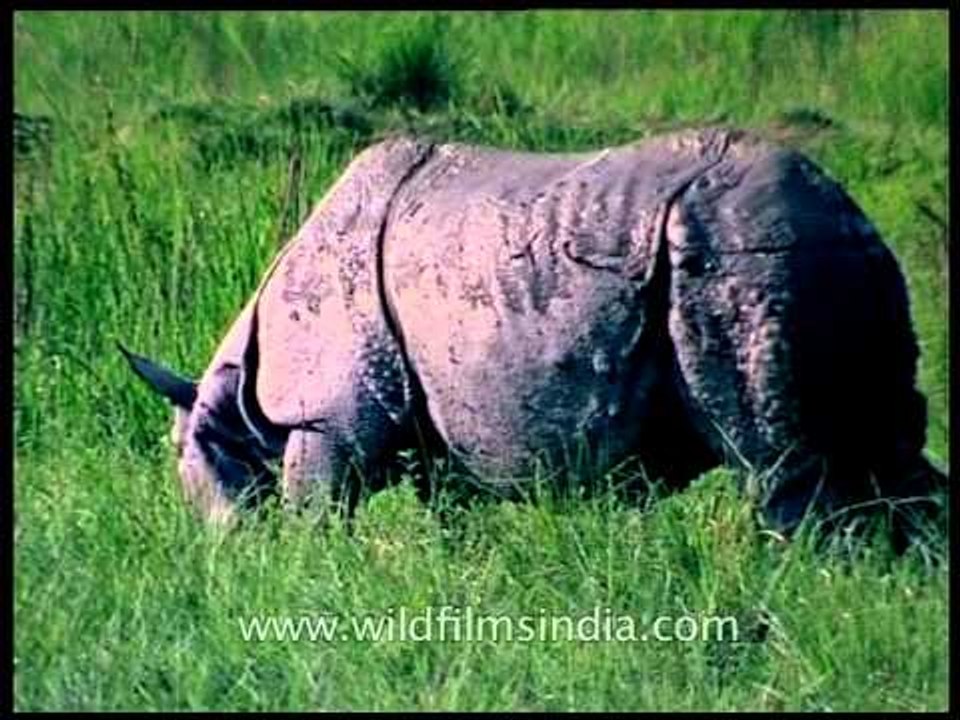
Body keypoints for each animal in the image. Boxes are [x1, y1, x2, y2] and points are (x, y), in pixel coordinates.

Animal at [121, 127, 946, 538]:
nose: (223, 551)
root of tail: (846, 216)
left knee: (781, 467)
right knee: (881, 448)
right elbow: (453, 521)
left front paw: (303, 570)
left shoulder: (331, 415)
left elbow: (316, 509)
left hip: (737, 257)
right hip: (821, 258)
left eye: (197, 457)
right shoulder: (437, 429)